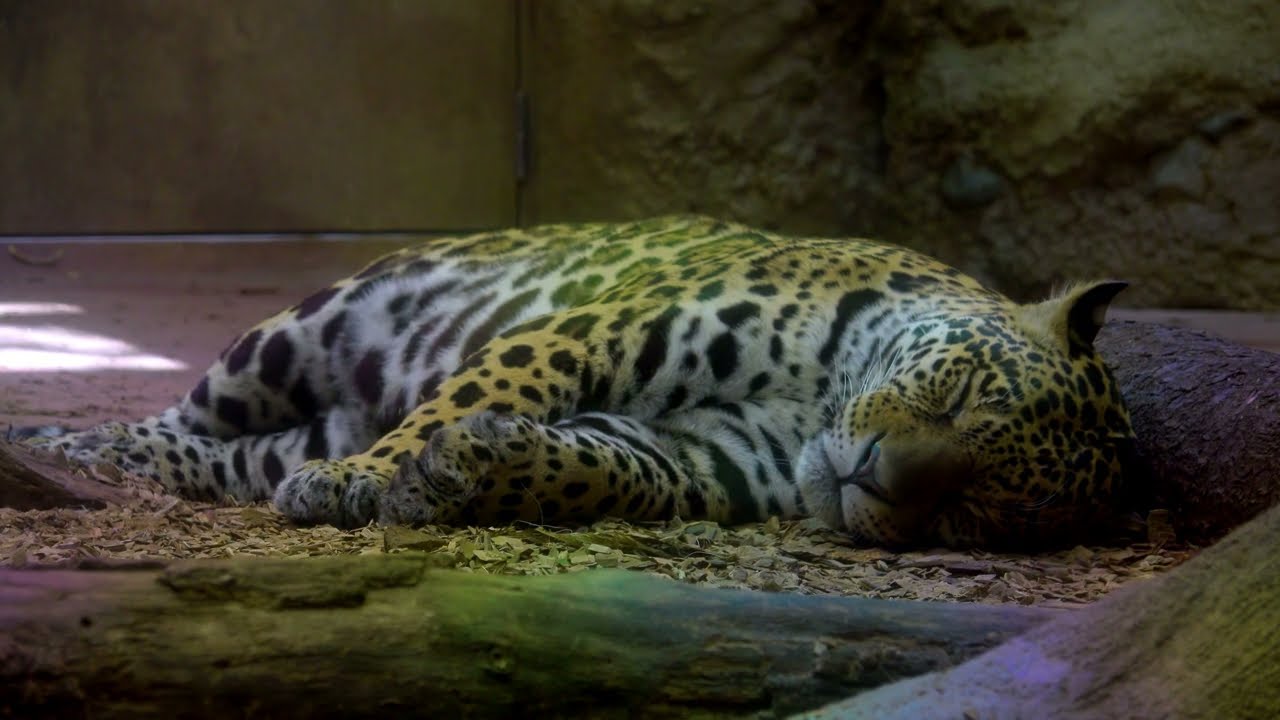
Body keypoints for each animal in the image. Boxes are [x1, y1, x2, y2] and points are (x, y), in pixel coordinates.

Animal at [20, 215, 1137, 548]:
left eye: (968, 514)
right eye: (956, 394)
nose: (873, 477)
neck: (819, 400)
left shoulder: (698, 457)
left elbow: (608, 468)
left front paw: (484, 467)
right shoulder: (599, 328)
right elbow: (485, 386)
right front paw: (375, 481)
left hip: (289, 426)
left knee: (226, 458)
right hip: (294, 335)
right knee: (183, 412)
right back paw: (68, 449)